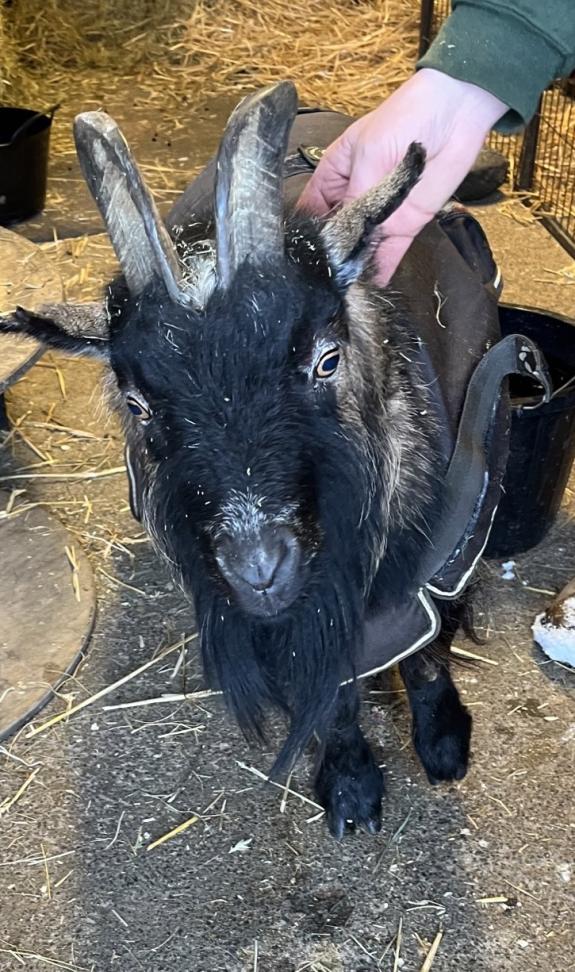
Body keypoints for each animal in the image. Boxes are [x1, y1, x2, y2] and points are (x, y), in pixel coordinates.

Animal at [0, 82, 549, 838]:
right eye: (136, 403)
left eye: (327, 359)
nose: (258, 568)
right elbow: (334, 682)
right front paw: (349, 786)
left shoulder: (442, 541)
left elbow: (427, 653)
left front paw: (443, 742)